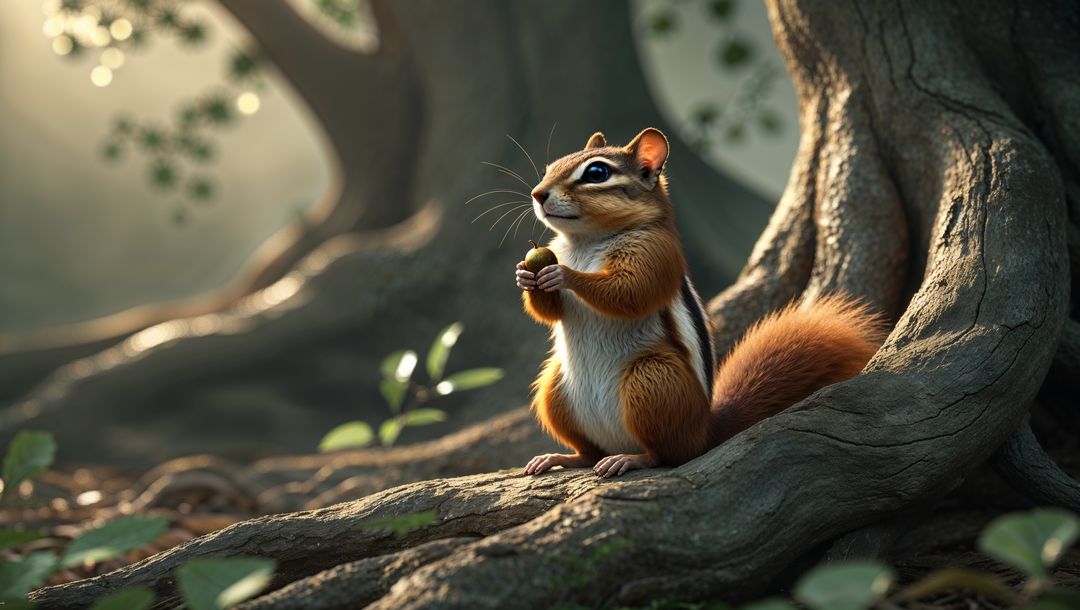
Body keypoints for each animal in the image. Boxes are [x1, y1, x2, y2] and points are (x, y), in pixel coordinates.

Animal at [515, 127, 886, 478]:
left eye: (596, 173)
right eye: (552, 166)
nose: (537, 193)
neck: (585, 242)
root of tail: (705, 430)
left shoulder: (656, 253)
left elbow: (630, 292)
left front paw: (564, 274)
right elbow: (551, 311)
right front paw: (526, 277)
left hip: (653, 378)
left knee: (667, 453)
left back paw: (632, 459)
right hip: (554, 388)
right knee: (590, 452)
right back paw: (560, 457)